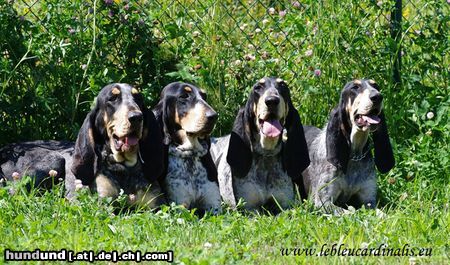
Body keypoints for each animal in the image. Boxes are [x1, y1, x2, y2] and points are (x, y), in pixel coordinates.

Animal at [152, 81, 221, 212]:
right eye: (184, 96)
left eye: (204, 96)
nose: (214, 116)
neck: (190, 154)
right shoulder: (180, 204)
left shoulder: (213, 204)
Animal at [210, 77, 310, 210]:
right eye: (258, 87)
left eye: (282, 86)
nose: (272, 100)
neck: (266, 154)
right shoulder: (249, 208)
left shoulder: (285, 205)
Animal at [302, 79, 394, 214]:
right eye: (355, 87)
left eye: (376, 86)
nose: (377, 96)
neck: (354, 155)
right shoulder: (322, 202)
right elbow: (350, 212)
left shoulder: (369, 201)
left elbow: (381, 213)